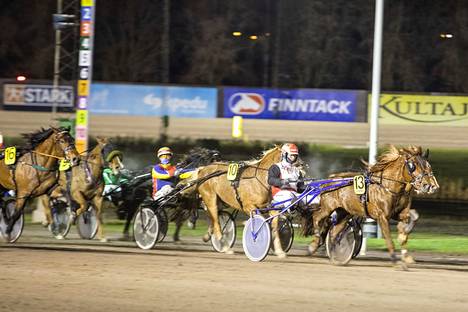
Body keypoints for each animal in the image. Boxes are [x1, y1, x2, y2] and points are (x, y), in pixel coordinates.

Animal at [310, 145, 438, 266]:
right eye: (413, 165)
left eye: (428, 165)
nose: (428, 185)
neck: (388, 185)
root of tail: (329, 179)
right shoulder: (382, 217)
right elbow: (389, 239)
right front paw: (396, 261)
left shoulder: (398, 213)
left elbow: (411, 220)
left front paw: (406, 253)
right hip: (328, 207)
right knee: (317, 217)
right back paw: (314, 243)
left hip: (345, 212)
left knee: (334, 230)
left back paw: (334, 253)